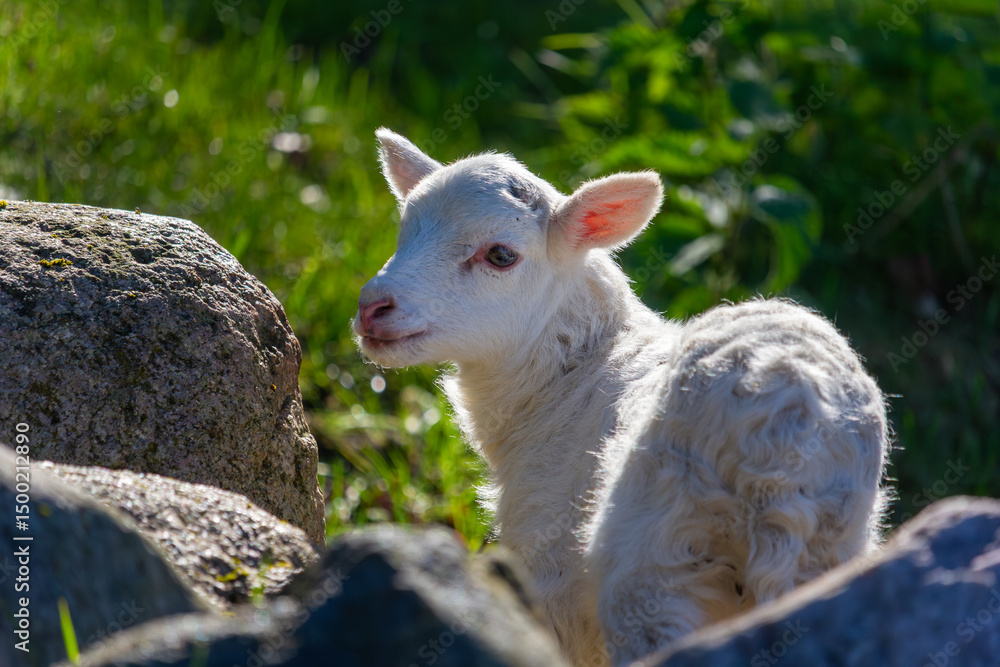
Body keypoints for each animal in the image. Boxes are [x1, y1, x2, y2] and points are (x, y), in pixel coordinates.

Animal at [354, 128, 890, 667]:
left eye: (500, 255)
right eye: (404, 231)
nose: (372, 306)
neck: (570, 376)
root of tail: (785, 430)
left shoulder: (550, 566)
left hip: (656, 558)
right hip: (825, 554)